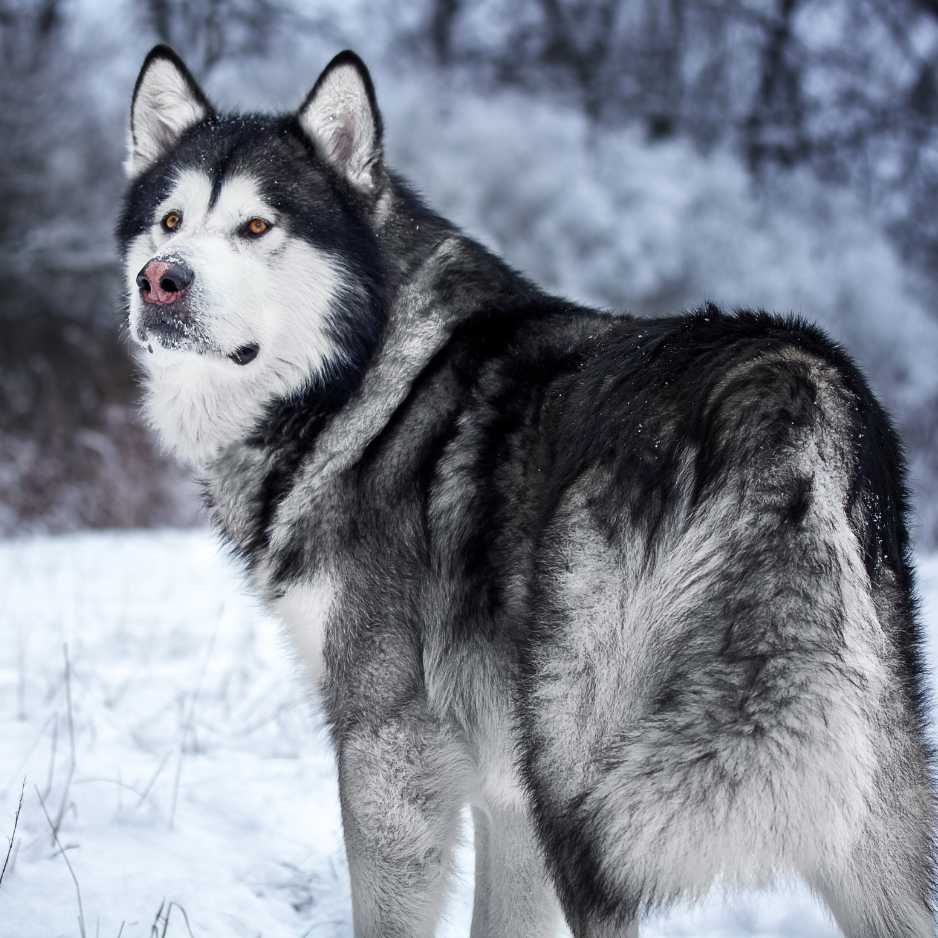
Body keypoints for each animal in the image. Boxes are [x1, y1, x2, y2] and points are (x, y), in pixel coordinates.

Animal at [120, 45, 932, 936]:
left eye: (258, 227)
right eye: (170, 222)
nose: (161, 280)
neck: (365, 376)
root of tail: (790, 379)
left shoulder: (387, 749)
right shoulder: (507, 799)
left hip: (589, 798)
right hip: (855, 804)